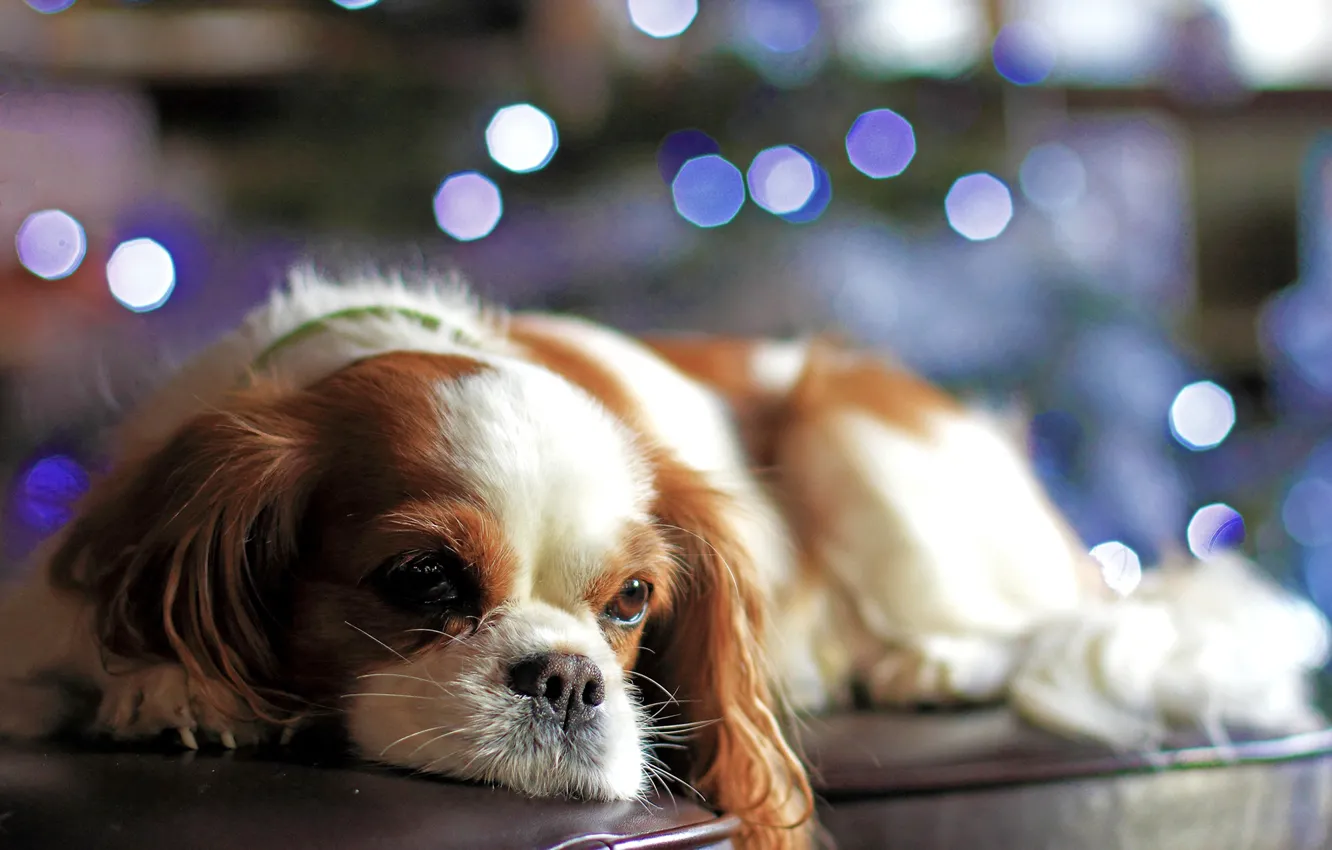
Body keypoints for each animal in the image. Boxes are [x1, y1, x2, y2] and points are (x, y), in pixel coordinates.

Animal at [0, 271, 1326, 847]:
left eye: (634, 600)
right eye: (422, 581)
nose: (571, 678)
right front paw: (168, 677)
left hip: (855, 427)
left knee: (1038, 621)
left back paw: (928, 663)